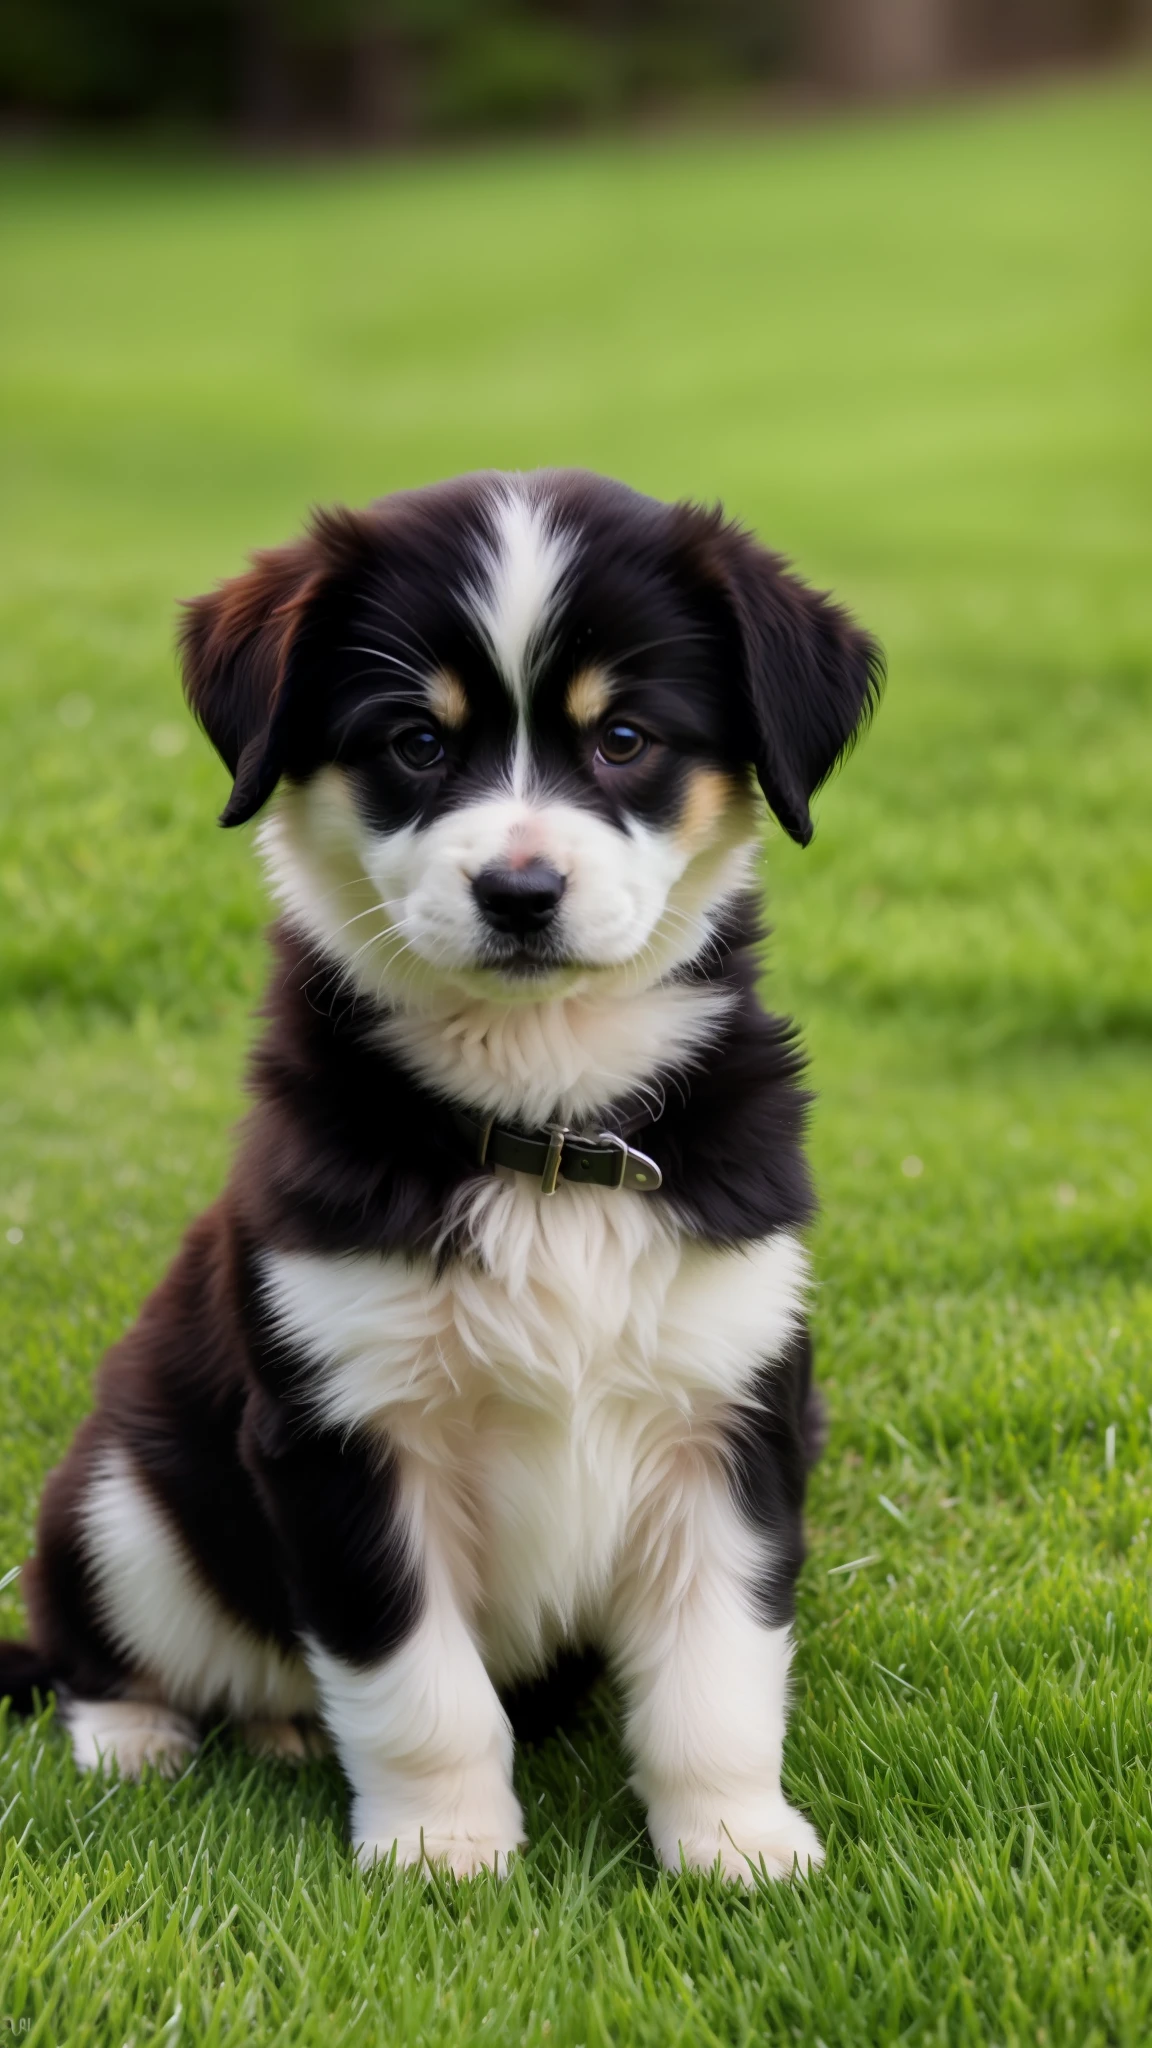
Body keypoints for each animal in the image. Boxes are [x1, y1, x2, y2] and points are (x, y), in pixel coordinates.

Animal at [2, 471, 877, 1875]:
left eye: (624, 736)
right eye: (415, 740)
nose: (520, 889)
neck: (547, 1129)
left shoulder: (734, 1409)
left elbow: (720, 1672)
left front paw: (737, 1842)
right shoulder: (344, 1430)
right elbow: (416, 1679)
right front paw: (441, 1850)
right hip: (122, 1498)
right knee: (91, 1640)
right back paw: (139, 1737)